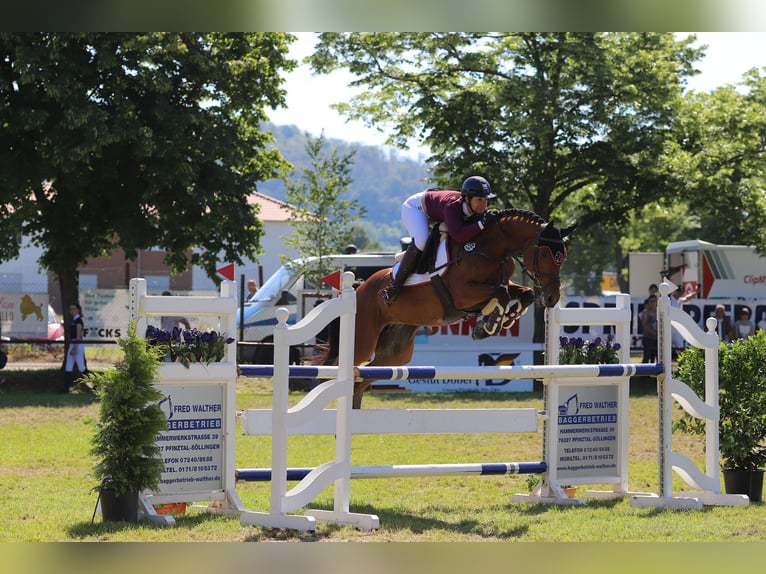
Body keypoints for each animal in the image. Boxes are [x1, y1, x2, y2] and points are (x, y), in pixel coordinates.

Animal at [320, 208, 572, 410]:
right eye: (544, 253)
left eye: (563, 257)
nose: (552, 297)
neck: (488, 248)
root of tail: (358, 288)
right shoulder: (463, 294)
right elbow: (500, 295)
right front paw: (488, 324)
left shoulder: (501, 283)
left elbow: (523, 293)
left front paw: (503, 318)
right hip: (362, 340)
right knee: (334, 369)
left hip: (396, 353)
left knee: (360, 381)